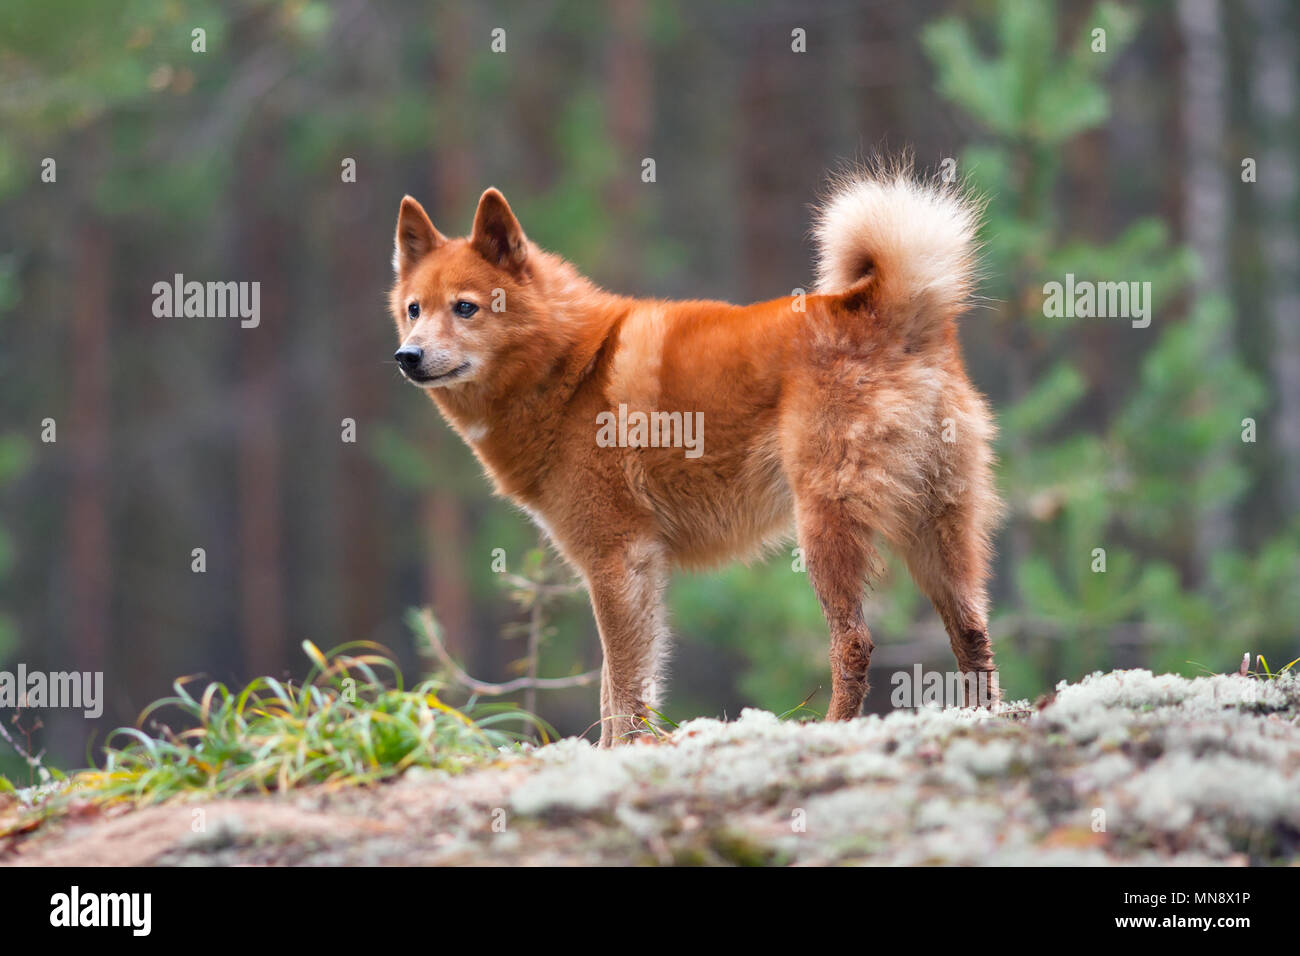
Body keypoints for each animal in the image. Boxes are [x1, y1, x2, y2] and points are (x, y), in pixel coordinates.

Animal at [390, 166, 998, 749]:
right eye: (414, 309)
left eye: (465, 308)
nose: (406, 356)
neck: (571, 367)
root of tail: (886, 307)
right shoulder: (633, 569)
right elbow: (616, 684)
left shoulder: (619, 559)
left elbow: (623, 687)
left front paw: (624, 750)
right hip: (936, 531)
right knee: (972, 634)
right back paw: (981, 718)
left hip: (826, 529)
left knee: (854, 644)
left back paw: (832, 727)